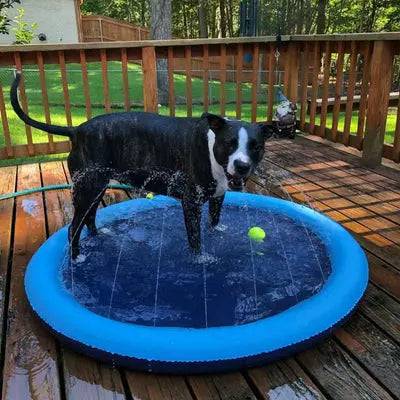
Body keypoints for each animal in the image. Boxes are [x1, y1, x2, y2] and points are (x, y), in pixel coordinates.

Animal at [10, 72, 296, 258]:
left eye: (255, 146)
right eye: (229, 143)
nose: (242, 165)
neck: (211, 147)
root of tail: (76, 130)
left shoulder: (218, 196)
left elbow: (214, 222)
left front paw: (219, 233)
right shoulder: (191, 203)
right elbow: (195, 238)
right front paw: (201, 260)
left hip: (96, 186)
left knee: (89, 217)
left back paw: (100, 235)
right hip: (88, 188)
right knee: (73, 228)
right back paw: (76, 257)